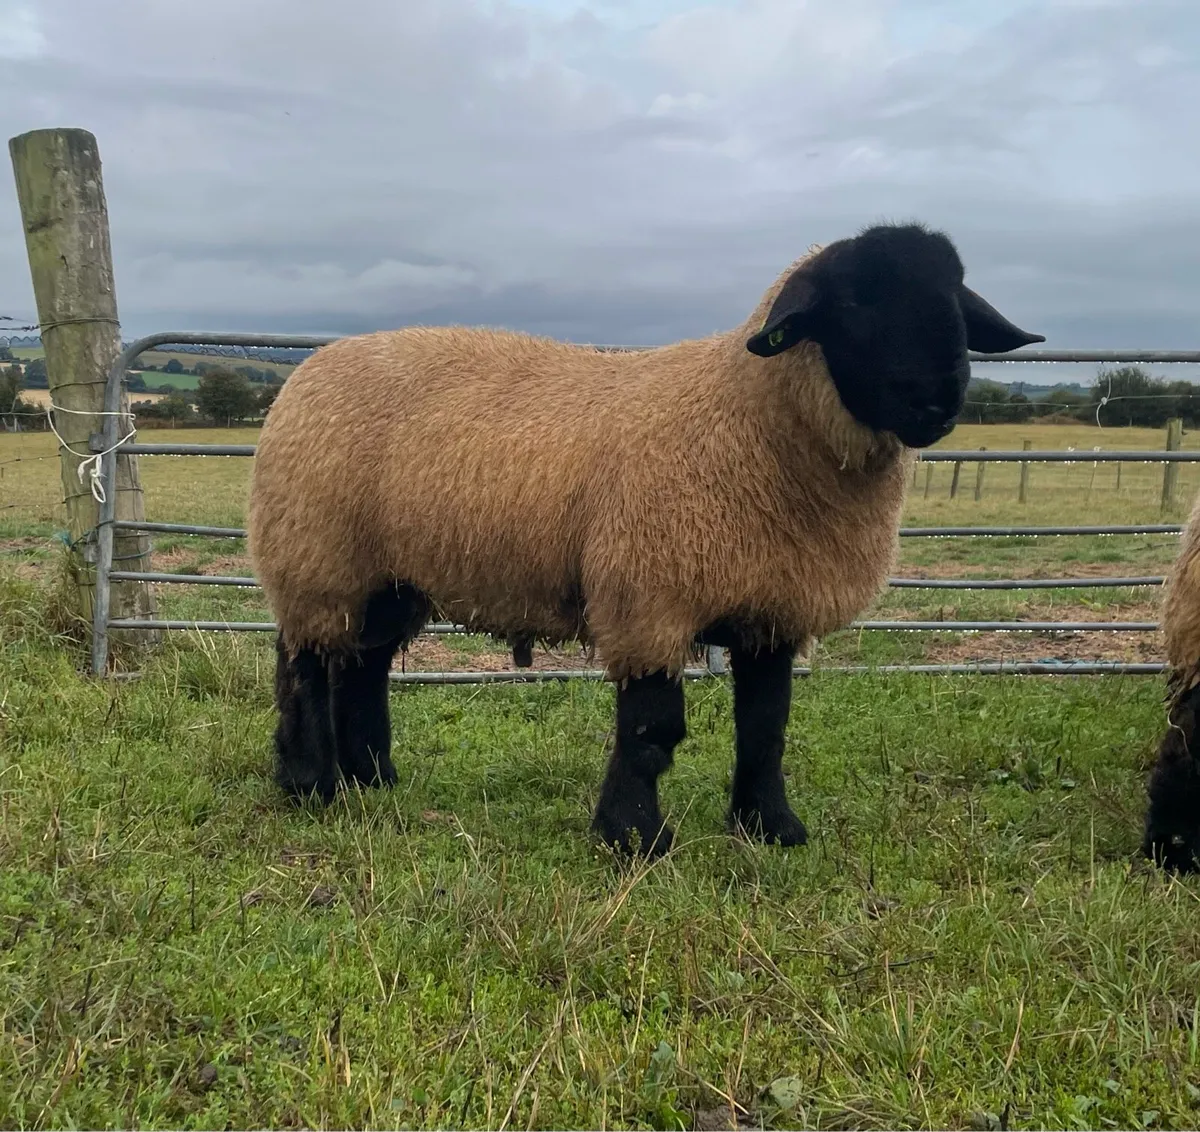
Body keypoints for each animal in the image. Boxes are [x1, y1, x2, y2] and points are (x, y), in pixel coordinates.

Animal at [247, 221, 1043, 856]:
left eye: (956, 301)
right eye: (853, 301)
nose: (940, 398)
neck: (744, 419)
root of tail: (308, 369)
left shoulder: (771, 608)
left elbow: (767, 727)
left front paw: (770, 827)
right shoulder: (649, 595)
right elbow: (652, 733)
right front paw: (633, 837)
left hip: (388, 572)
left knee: (363, 664)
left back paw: (372, 777)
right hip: (316, 554)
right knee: (306, 666)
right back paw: (311, 783)